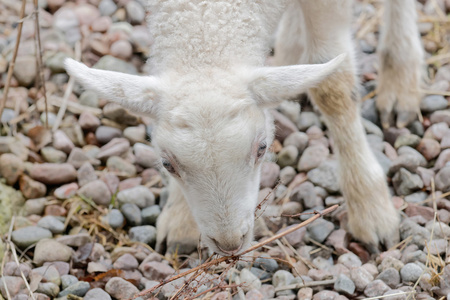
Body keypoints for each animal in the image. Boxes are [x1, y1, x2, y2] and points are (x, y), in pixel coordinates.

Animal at [65, 0, 424, 255]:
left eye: (262, 149)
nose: (229, 244)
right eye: (167, 164)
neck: (206, 15)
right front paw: (180, 219)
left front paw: (371, 210)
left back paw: (400, 77)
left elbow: (333, 87)